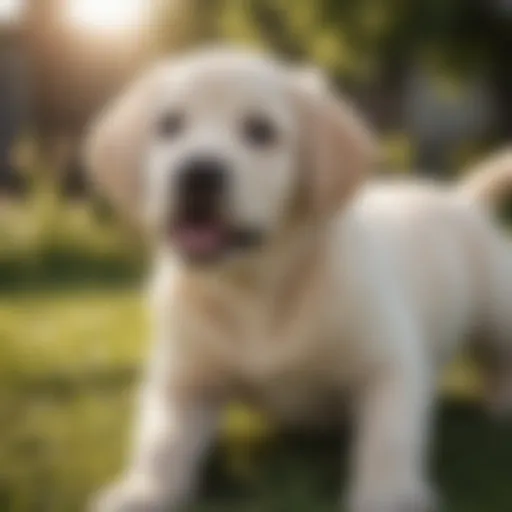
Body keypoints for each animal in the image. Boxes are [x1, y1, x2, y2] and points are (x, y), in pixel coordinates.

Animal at [86, 46, 512, 510]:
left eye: (260, 131)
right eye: (169, 126)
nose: (197, 172)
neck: (255, 288)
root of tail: (461, 199)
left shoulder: (388, 366)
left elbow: (388, 438)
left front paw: (389, 494)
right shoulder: (185, 379)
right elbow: (160, 441)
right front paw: (142, 490)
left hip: (497, 310)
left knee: (498, 357)